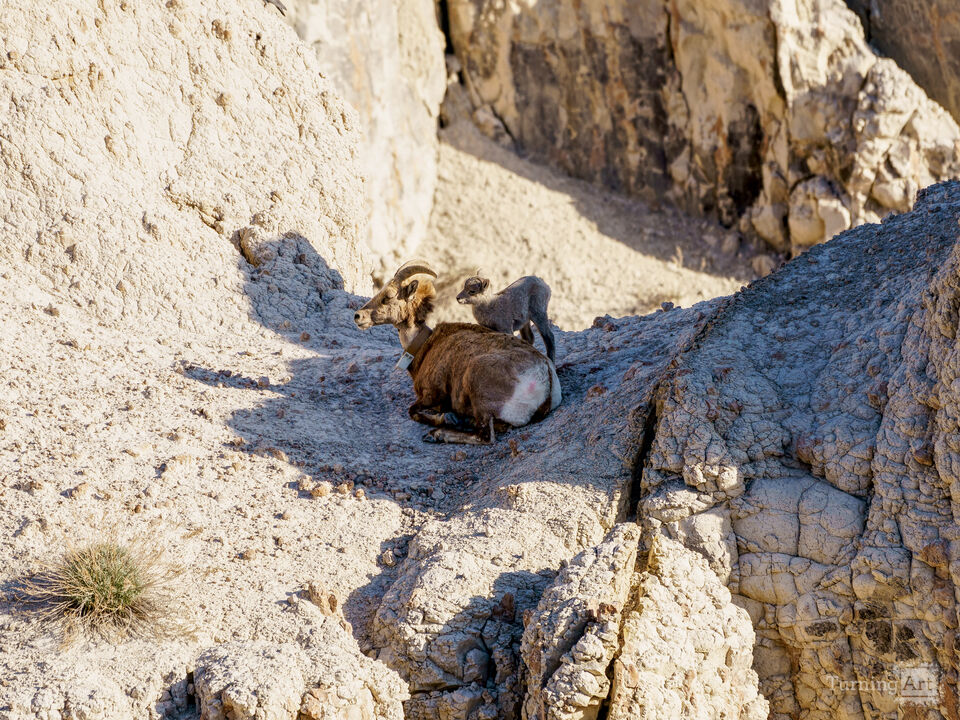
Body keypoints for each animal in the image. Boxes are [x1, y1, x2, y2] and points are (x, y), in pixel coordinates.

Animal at [354, 260, 561, 444]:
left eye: (388, 296)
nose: (358, 316)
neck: (424, 346)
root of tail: (546, 378)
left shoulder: (431, 395)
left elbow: (413, 411)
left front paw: (447, 418)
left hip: (478, 386)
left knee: (485, 437)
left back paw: (437, 434)